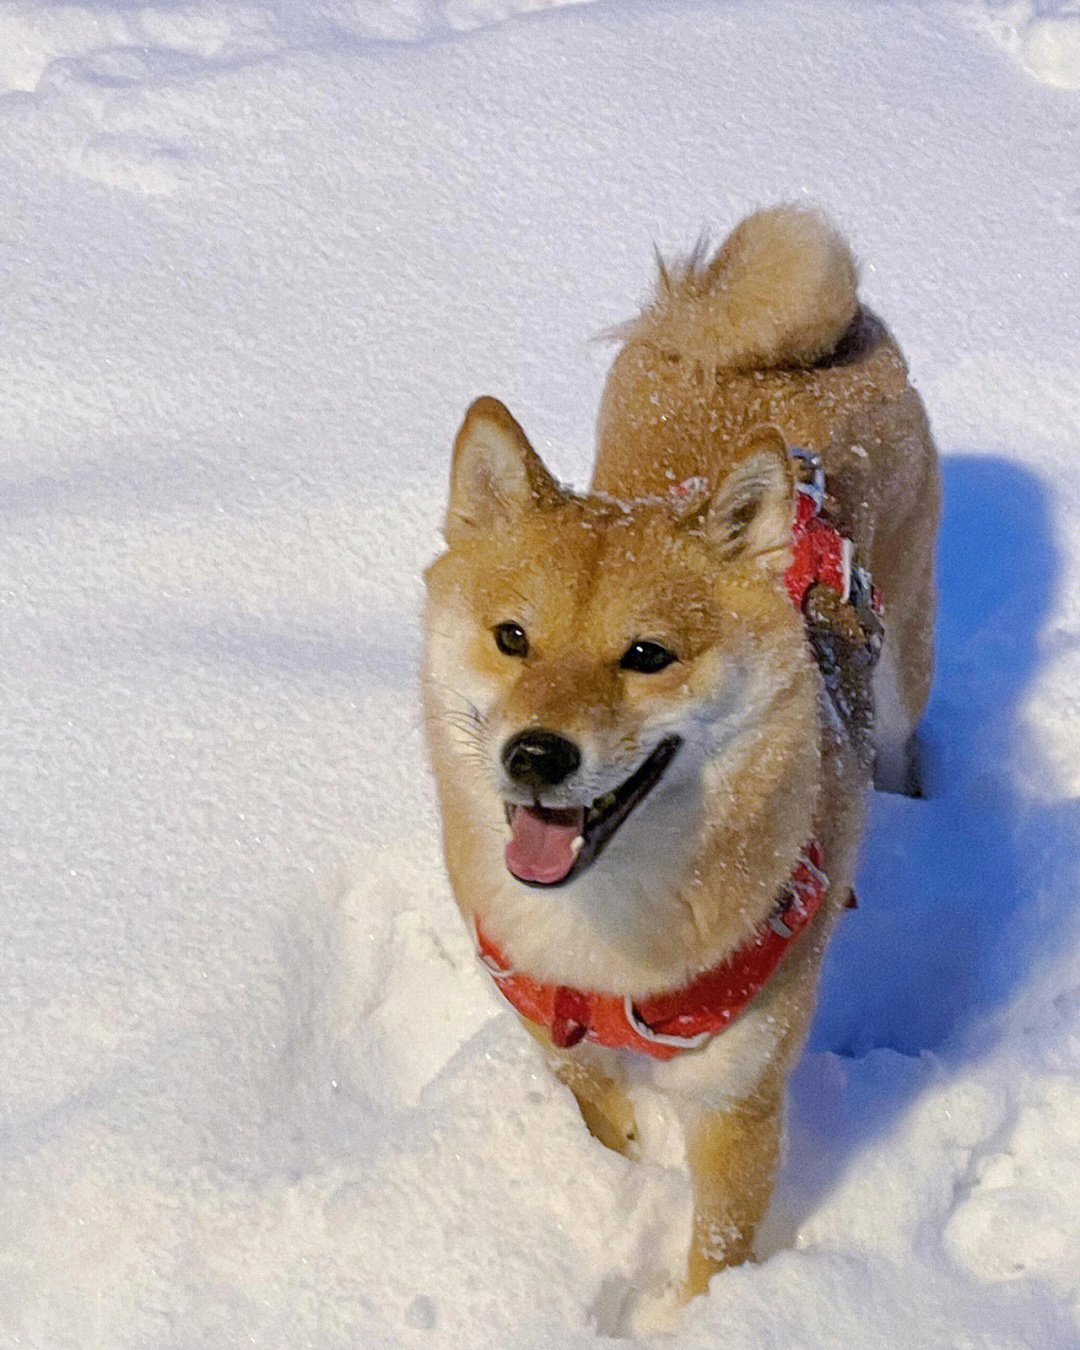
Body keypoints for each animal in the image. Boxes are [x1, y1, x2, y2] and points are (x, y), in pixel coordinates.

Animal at [421, 205, 934, 1323]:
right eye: (512, 638)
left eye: (647, 655)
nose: (535, 755)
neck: (610, 946)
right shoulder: (562, 1046)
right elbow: (599, 1123)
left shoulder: (738, 1101)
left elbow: (720, 1254)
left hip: (906, 645)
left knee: (908, 732)